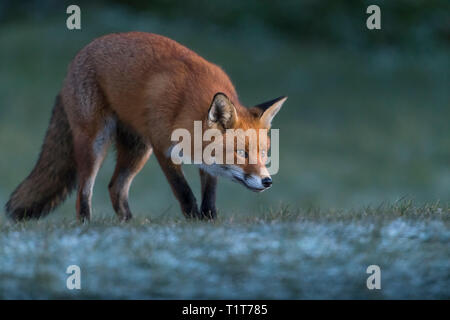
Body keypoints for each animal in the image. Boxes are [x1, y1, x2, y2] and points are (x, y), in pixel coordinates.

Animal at [5, 33, 286, 222]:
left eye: (263, 153)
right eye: (242, 153)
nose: (268, 181)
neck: (186, 105)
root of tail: (76, 58)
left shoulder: (205, 162)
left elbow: (210, 195)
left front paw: (208, 221)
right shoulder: (163, 148)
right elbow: (184, 191)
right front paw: (192, 221)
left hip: (137, 150)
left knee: (115, 187)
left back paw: (130, 226)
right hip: (96, 143)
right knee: (84, 192)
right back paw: (87, 225)